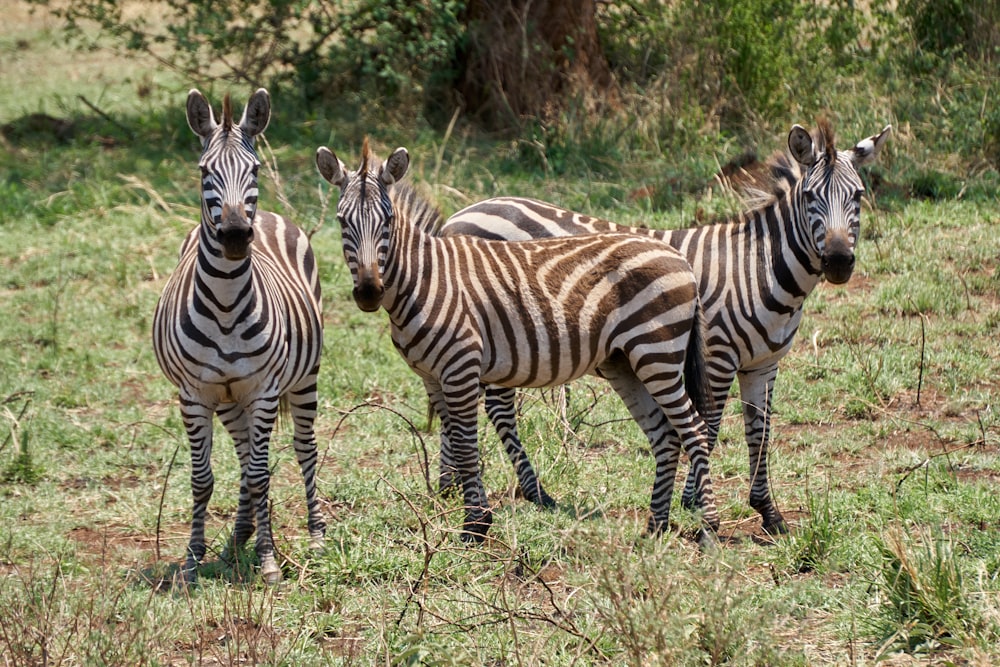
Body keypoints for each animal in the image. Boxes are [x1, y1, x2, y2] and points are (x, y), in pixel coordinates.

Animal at [152, 88, 326, 584]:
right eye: (203, 171)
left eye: (255, 169)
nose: (233, 236)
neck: (228, 304)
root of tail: (264, 214)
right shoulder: (194, 395)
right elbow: (204, 478)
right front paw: (193, 559)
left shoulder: (264, 391)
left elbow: (262, 474)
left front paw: (268, 562)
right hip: (229, 399)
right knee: (246, 455)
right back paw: (237, 537)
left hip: (304, 377)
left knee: (303, 449)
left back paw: (315, 536)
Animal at [318, 140, 720, 544]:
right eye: (341, 221)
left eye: (387, 221)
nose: (369, 292)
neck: (424, 280)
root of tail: (681, 259)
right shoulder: (433, 375)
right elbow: (457, 442)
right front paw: (470, 511)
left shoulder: (461, 367)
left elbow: (466, 446)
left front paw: (475, 525)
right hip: (625, 362)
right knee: (665, 435)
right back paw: (655, 527)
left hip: (657, 353)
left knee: (694, 430)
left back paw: (709, 530)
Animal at [444, 120, 892, 536]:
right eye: (809, 196)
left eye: (858, 195)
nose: (838, 261)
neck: (757, 267)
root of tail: (458, 216)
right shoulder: (717, 355)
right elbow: (709, 426)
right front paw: (693, 501)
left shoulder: (763, 365)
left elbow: (760, 434)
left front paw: (769, 512)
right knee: (497, 410)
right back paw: (530, 492)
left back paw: (449, 486)